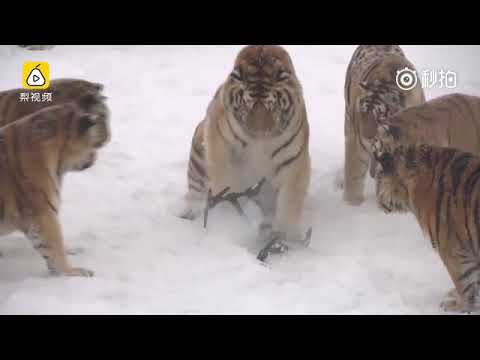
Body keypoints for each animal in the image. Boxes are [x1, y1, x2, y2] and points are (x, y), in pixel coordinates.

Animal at [181, 43, 312, 243]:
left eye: (272, 105)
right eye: (247, 104)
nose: (259, 131)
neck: (260, 142)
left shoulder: (293, 161)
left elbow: (290, 200)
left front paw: (288, 236)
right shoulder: (221, 148)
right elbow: (226, 183)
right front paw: (232, 221)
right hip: (198, 147)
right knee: (195, 192)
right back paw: (192, 212)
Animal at [344, 45, 426, 205]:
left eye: (379, 117)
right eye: (362, 113)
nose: (365, 137)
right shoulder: (357, 144)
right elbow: (355, 173)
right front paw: (353, 205)